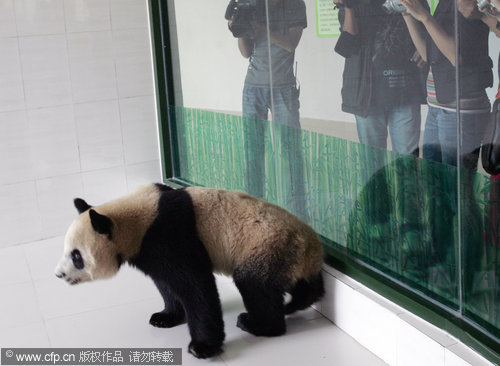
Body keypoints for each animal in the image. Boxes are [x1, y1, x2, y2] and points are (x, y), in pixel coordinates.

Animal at [54, 183, 324, 358]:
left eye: (76, 256)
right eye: (67, 249)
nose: (59, 275)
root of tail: (311, 247)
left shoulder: (168, 233)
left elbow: (194, 285)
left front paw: (201, 347)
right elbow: (165, 283)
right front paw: (165, 317)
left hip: (264, 245)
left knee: (254, 285)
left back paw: (258, 324)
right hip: (285, 254)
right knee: (301, 284)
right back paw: (299, 301)